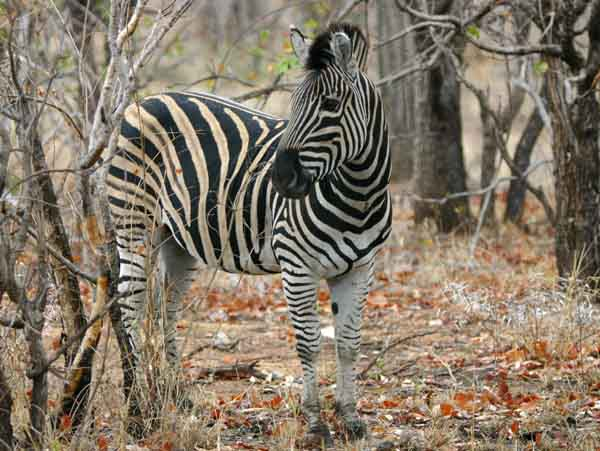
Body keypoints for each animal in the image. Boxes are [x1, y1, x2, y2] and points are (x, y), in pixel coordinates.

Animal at [106, 23, 392, 444]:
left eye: (331, 105)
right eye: (294, 104)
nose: (280, 178)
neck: (359, 196)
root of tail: (145, 101)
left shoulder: (360, 267)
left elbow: (349, 343)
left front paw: (351, 417)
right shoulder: (296, 265)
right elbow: (309, 343)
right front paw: (316, 423)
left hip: (177, 241)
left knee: (166, 309)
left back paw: (177, 396)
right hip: (133, 224)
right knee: (130, 306)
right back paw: (136, 410)